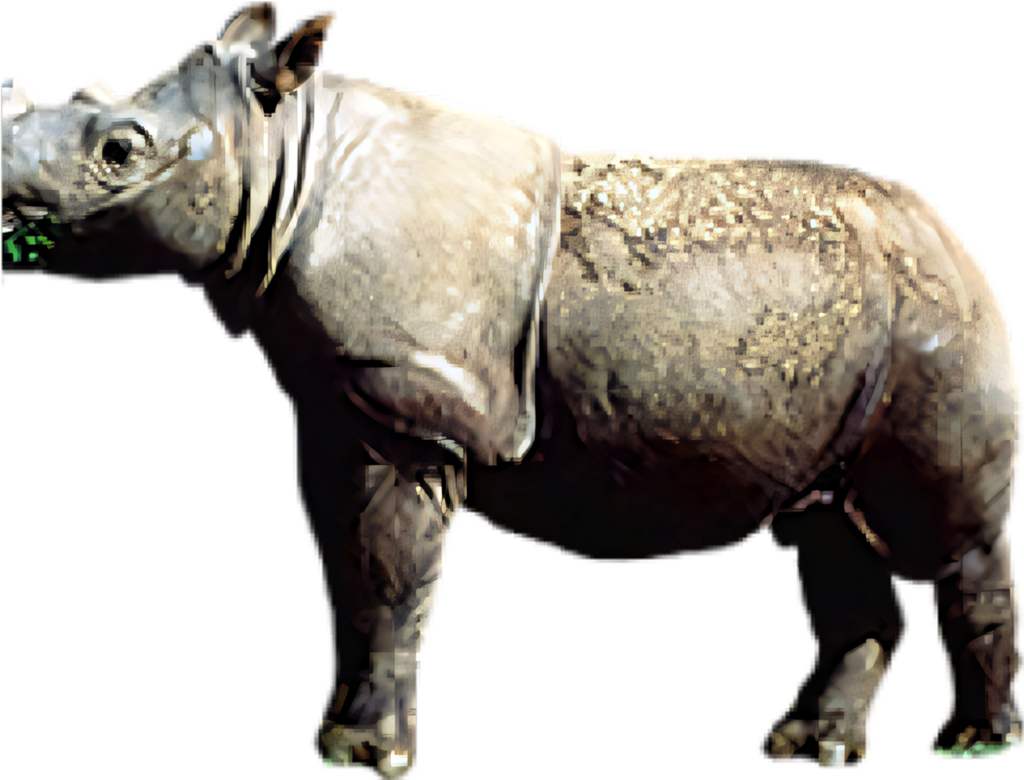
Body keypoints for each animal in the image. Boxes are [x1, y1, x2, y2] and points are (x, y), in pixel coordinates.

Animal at [3, 3, 1022, 775]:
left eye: (120, 151)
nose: (7, 205)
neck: (284, 149)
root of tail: (946, 224)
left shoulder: (414, 405)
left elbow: (389, 574)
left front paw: (363, 759)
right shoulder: (340, 404)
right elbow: (352, 574)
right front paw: (338, 742)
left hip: (937, 316)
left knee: (945, 536)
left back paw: (972, 746)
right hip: (857, 331)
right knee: (829, 528)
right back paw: (808, 751)